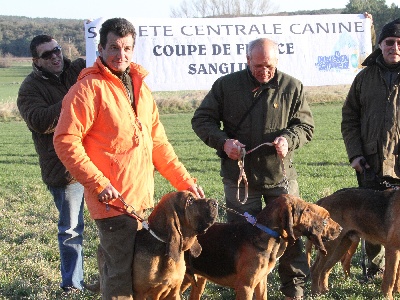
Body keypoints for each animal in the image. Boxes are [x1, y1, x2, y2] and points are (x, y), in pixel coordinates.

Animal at [180, 193, 340, 298]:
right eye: (306, 210)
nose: (340, 229)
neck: (264, 232)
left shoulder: (261, 282)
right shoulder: (245, 287)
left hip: (196, 281)